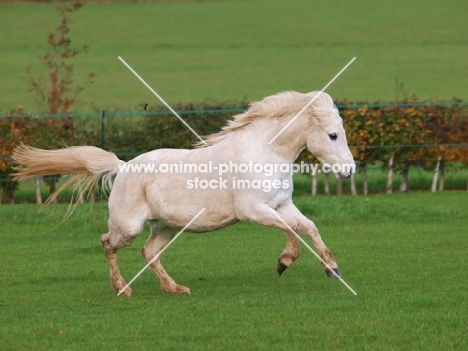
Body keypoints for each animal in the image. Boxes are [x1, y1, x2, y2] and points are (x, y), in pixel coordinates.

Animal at [11, 91, 354, 296]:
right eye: (333, 135)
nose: (349, 170)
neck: (264, 152)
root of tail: (123, 166)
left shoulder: (282, 204)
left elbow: (308, 227)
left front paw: (333, 269)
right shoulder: (254, 210)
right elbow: (292, 232)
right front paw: (283, 263)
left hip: (166, 227)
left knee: (149, 252)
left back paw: (175, 288)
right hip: (128, 227)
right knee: (108, 243)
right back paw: (123, 289)